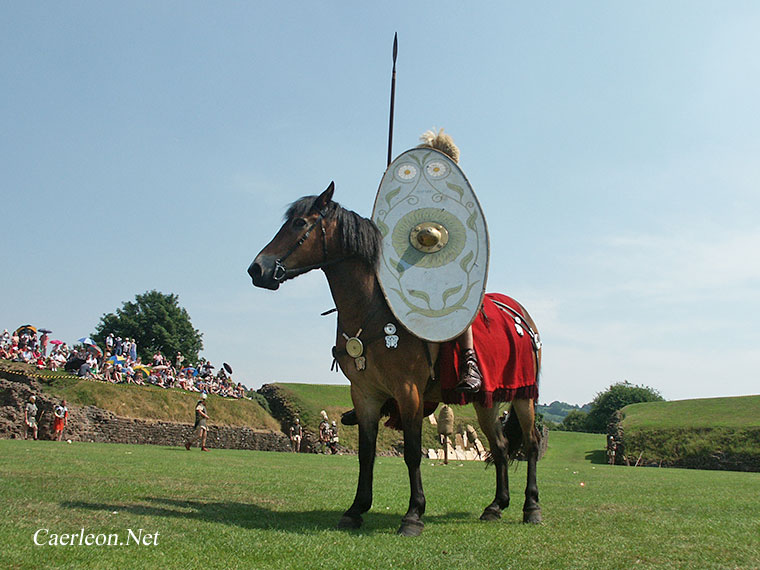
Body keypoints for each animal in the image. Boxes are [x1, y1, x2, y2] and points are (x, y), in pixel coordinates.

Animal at [248, 181, 540, 532]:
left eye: (299, 223)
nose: (257, 268)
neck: (372, 310)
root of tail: (521, 315)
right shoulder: (365, 394)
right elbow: (366, 453)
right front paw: (356, 509)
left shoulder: (408, 392)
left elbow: (412, 452)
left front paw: (413, 514)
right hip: (487, 400)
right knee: (500, 447)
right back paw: (496, 505)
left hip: (524, 396)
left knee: (531, 444)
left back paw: (531, 507)